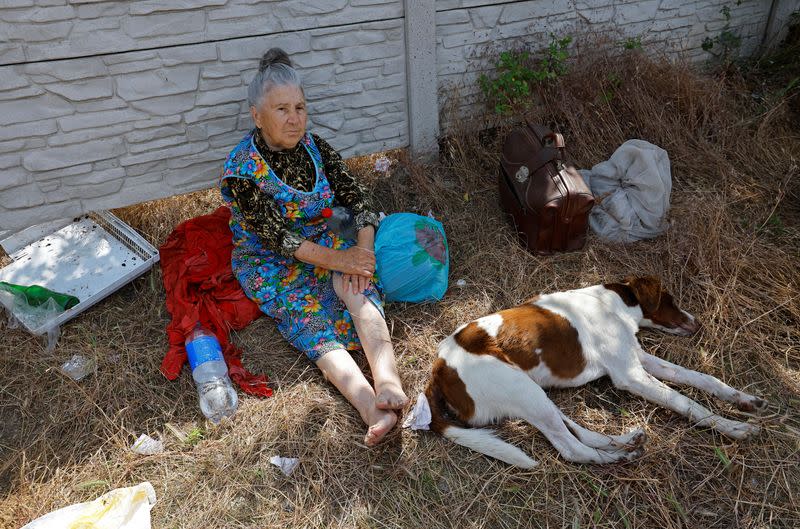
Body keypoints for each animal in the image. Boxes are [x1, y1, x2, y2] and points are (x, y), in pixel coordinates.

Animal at [424, 276, 768, 466]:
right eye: (669, 300)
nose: (698, 323)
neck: (610, 303)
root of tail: (438, 369)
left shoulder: (639, 360)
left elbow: (702, 377)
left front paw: (744, 400)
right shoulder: (630, 375)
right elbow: (687, 402)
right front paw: (733, 427)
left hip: (531, 392)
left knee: (578, 431)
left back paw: (624, 440)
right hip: (520, 388)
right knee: (571, 448)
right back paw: (618, 457)